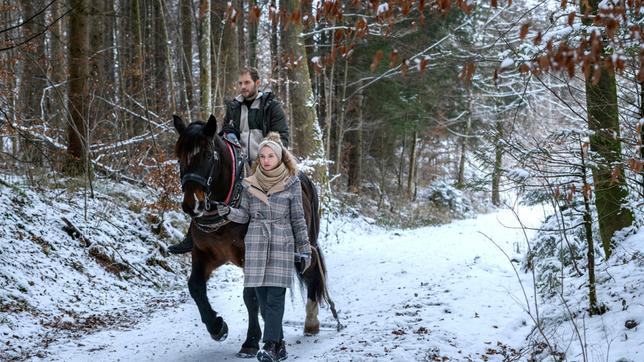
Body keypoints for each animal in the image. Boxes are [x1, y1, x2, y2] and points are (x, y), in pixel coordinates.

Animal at [171, 115, 342, 356]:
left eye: (207, 155)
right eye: (180, 156)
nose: (191, 205)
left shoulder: (251, 256)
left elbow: (251, 297)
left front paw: (251, 340)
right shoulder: (203, 254)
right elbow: (195, 287)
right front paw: (217, 327)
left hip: (304, 246)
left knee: (312, 274)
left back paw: (311, 322)